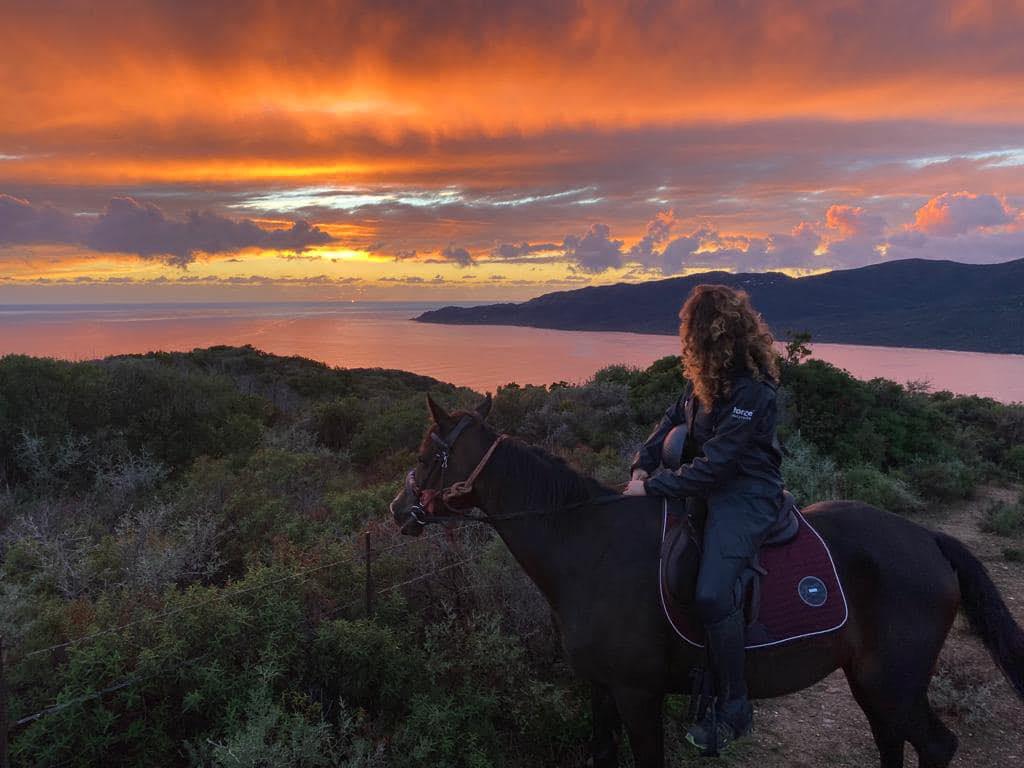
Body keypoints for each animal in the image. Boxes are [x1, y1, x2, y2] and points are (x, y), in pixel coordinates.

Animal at [389, 397, 1024, 768]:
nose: (398, 510)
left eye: (427, 454)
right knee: (893, 741)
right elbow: (601, 754)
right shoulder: (601, 687)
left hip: (894, 681)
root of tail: (928, 539)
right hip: (874, 682)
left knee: (935, 746)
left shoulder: (636, 693)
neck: (586, 546)